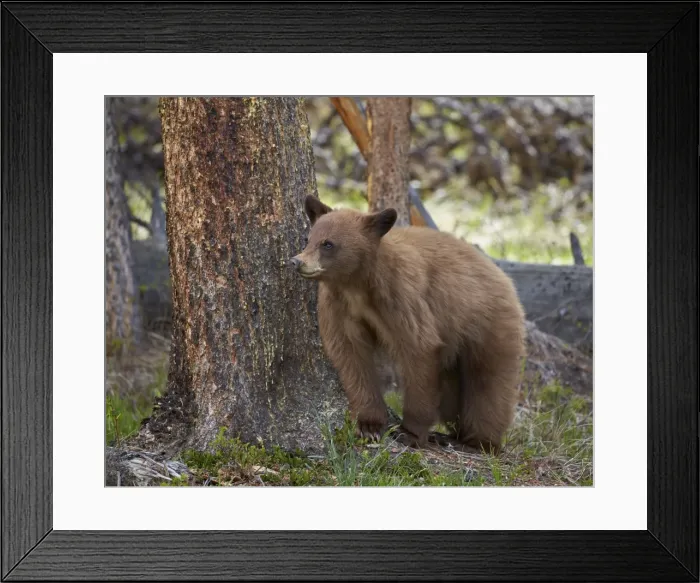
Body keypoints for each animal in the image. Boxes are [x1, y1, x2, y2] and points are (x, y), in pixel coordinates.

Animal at [290, 195, 526, 453]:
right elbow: (351, 356)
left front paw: (410, 433)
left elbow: (419, 350)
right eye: (308, 239)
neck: (357, 285)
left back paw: (476, 442)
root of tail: (503, 277)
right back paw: (450, 435)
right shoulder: (339, 306)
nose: (297, 261)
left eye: (328, 244)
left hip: (487, 324)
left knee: (489, 384)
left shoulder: (402, 296)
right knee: (451, 395)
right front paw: (369, 425)